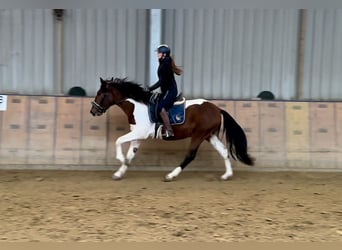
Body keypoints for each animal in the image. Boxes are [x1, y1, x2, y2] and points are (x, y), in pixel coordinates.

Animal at [91, 77, 254, 181]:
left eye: (100, 94)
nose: (93, 111)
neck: (138, 105)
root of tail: (217, 109)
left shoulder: (139, 133)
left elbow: (118, 141)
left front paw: (120, 159)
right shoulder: (138, 136)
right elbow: (131, 154)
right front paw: (119, 173)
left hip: (199, 135)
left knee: (190, 155)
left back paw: (171, 175)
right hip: (209, 135)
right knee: (224, 151)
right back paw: (227, 175)